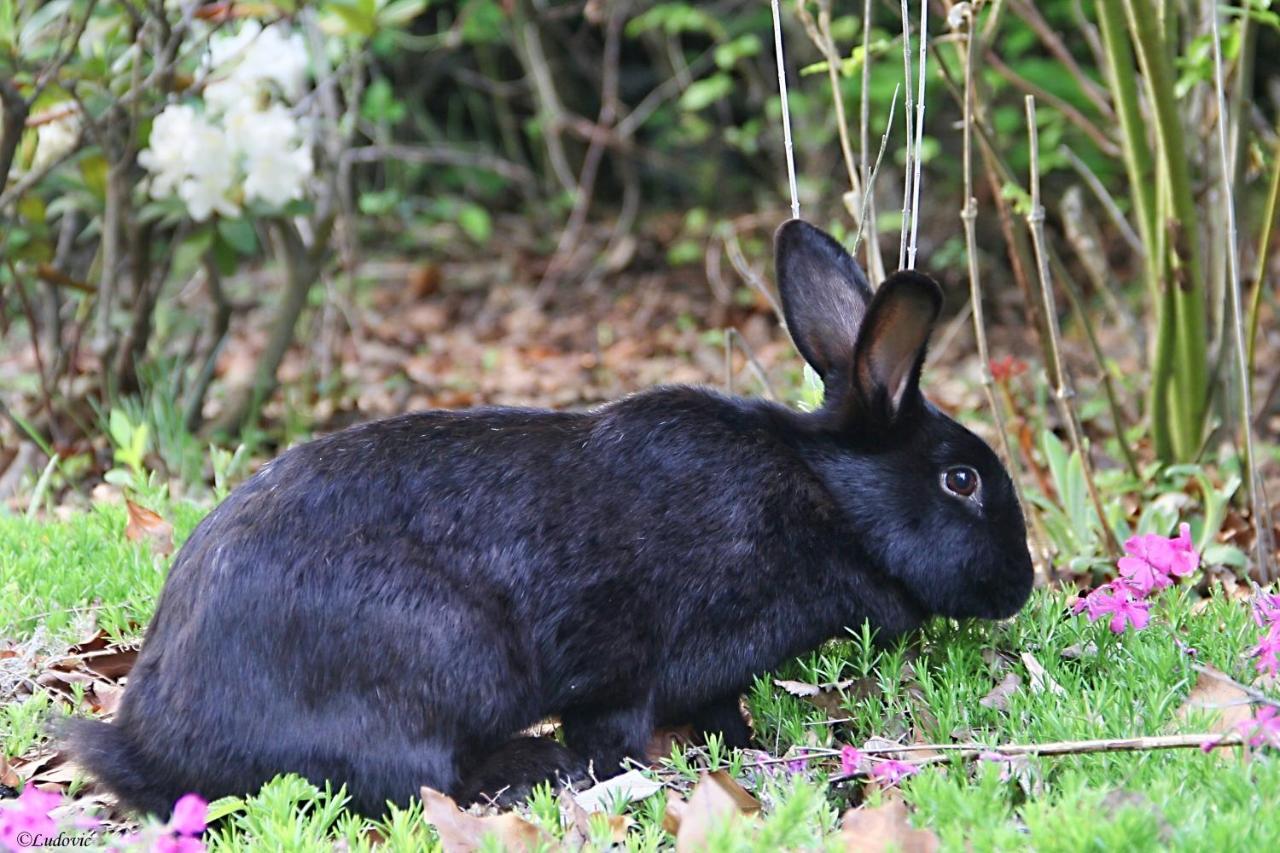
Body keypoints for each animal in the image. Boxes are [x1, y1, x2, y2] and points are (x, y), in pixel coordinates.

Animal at [64, 220, 1034, 819]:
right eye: (960, 480)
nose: (1022, 586)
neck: (824, 495)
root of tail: (154, 744)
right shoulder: (624, 658)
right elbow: (614, 722)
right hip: (455, 654)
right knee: (416, 777)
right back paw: (531, 772)